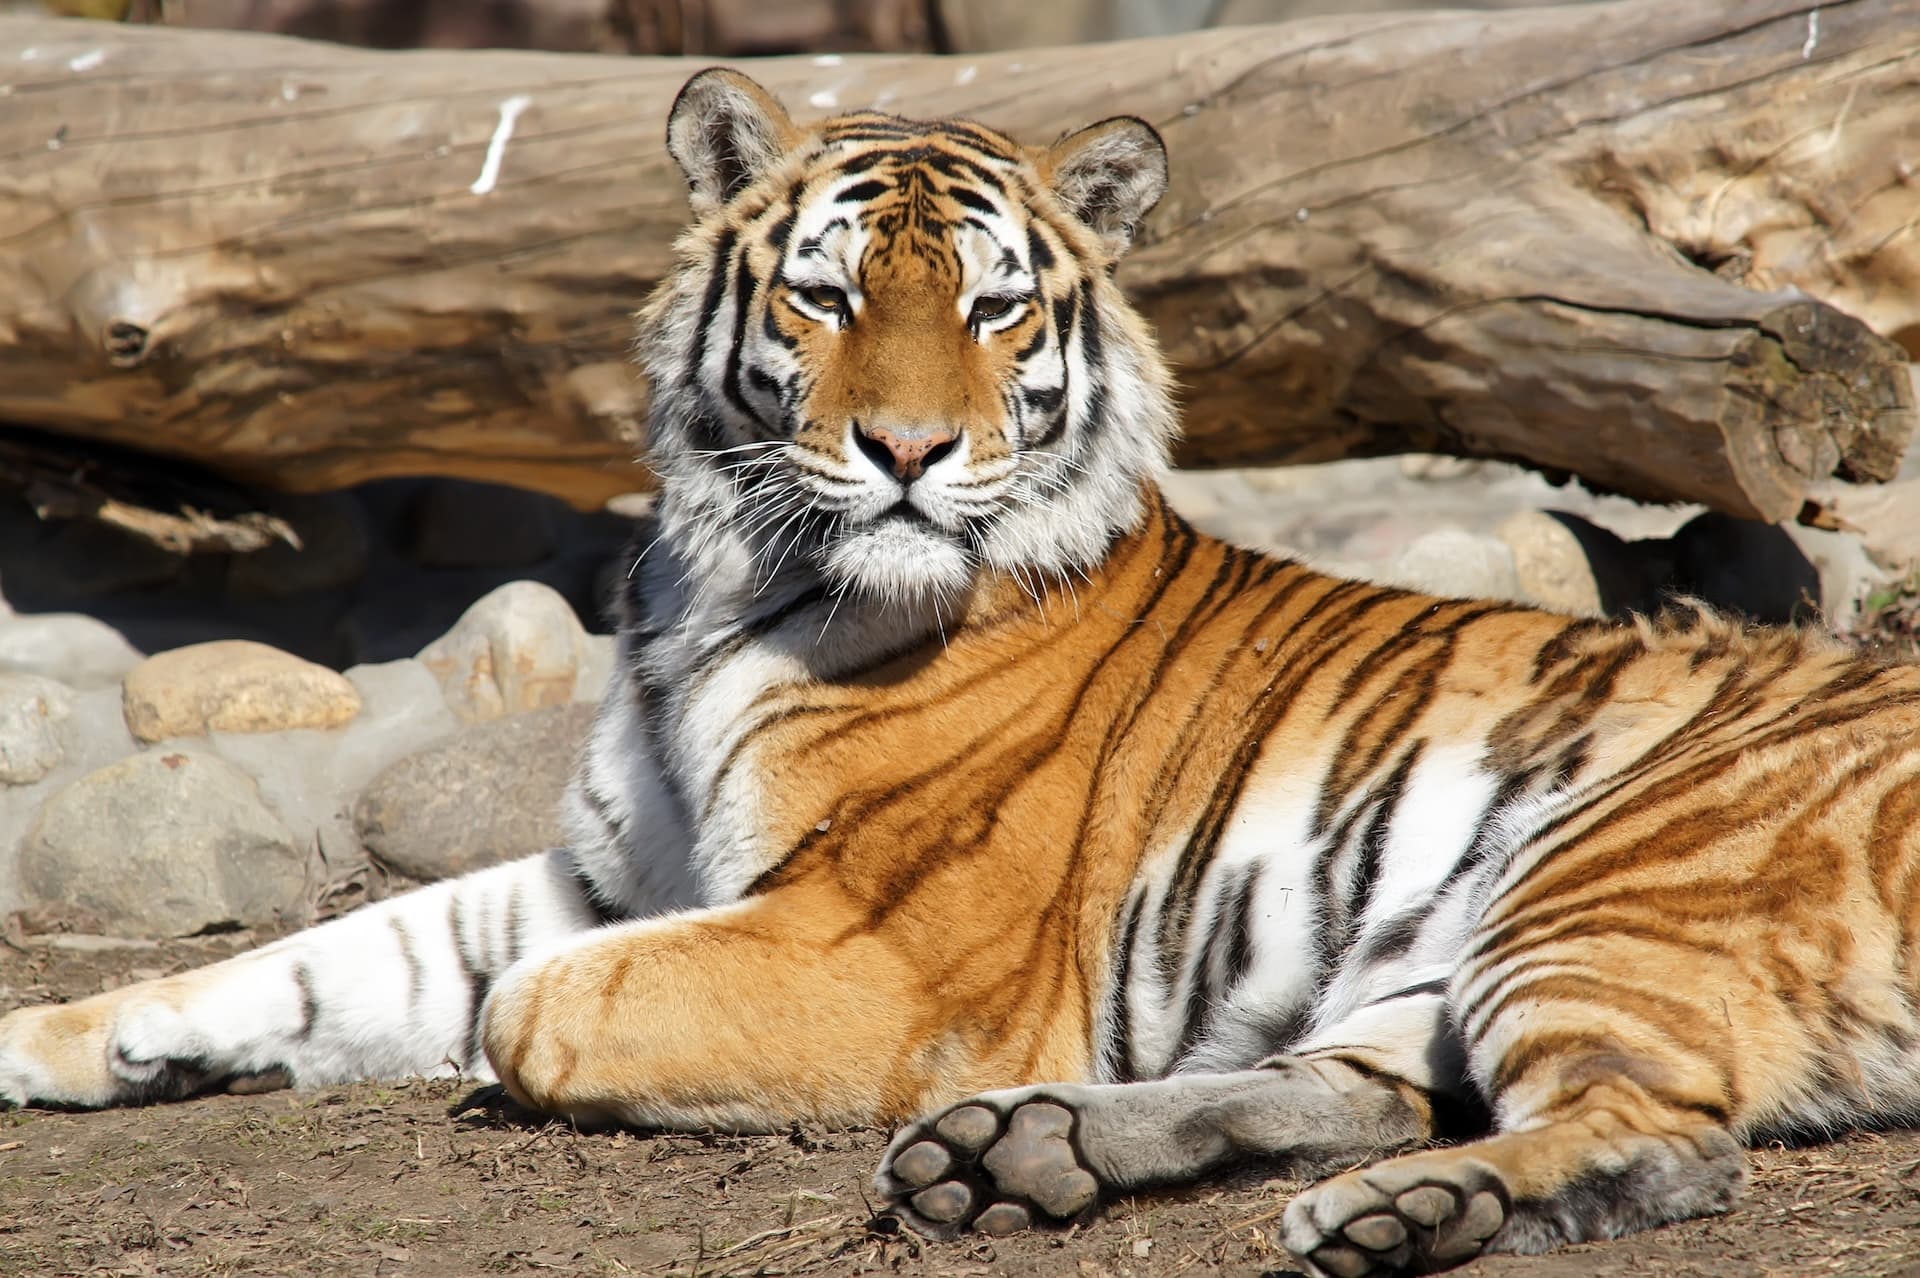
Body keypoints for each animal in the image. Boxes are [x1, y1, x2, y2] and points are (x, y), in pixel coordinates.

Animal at [4, 66, 1920, 1278]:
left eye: (997, 310)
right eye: (832, 296)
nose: (914, 451)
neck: (720, 581)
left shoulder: (879, 947)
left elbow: (514, 1000)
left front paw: (495, 1052)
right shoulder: (609, 868)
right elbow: (334, 955)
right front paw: (64, 1036)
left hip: (1601, 875)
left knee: (1663, 1137)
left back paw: (1380, 1217)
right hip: (1435, 956)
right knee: (1351, 1086)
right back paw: (1032, 1150)